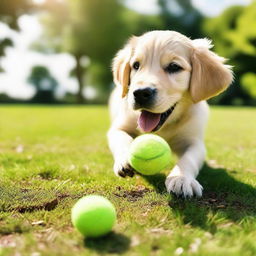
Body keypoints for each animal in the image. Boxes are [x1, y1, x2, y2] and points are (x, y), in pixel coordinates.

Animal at [107, 31, 233, 197]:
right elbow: (121, 139)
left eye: (174, 67)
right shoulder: (118, 127)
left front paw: (181, 178)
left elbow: (189, 158)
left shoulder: (194, 141)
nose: (140, 93)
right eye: (136, 65)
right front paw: (124, 159)